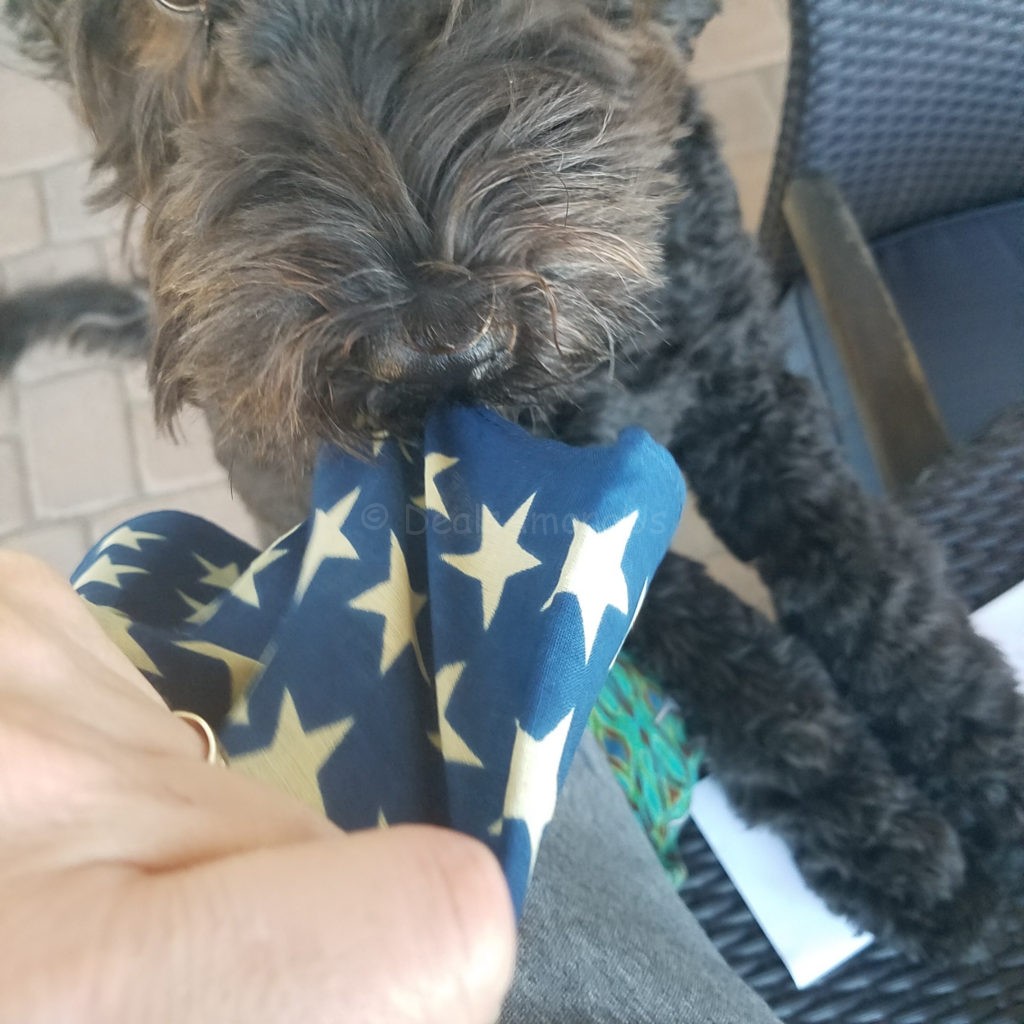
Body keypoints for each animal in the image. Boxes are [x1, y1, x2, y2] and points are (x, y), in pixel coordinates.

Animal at [3, 0, 1022, 956]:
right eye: (177, 13)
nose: (438, 330)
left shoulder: (747, 395)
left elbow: (877, 583)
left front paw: (983, 762)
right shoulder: (573, 526)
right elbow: (742, 663)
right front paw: (886, 835)